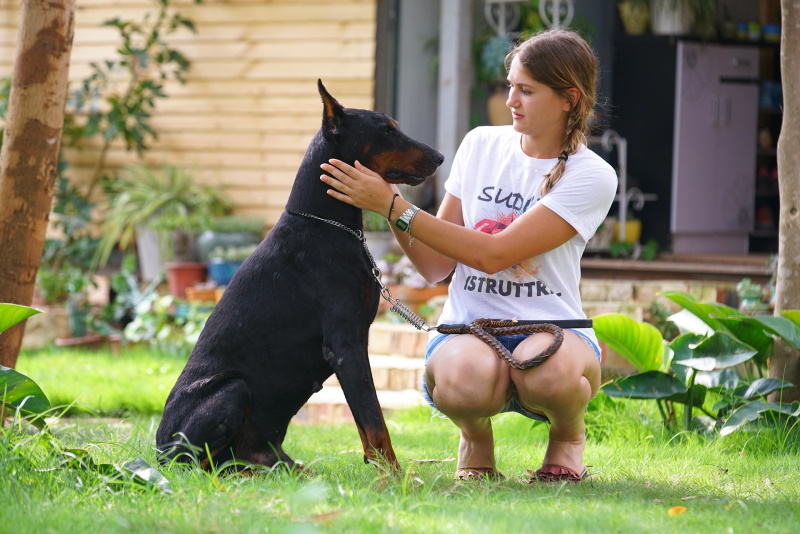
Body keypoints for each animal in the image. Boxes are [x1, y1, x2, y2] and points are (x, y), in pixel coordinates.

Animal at [156, 79, 444, 474]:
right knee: (200, 466)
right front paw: (395, 477)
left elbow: (368, 422)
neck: (325, 223)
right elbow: (374, 421)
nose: (440, 157)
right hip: (230, 390)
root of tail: (156, 451)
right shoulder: (345, 345)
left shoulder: (355, 342)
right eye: (386, 130)